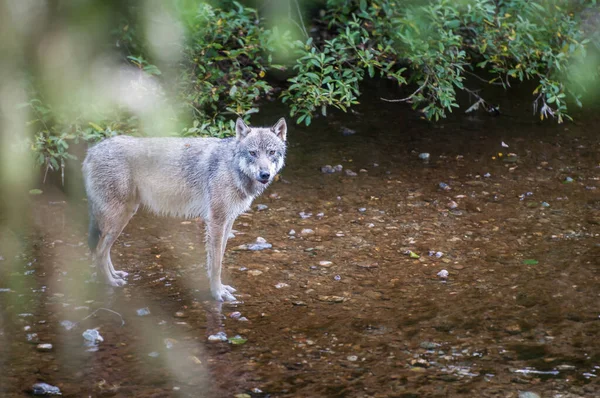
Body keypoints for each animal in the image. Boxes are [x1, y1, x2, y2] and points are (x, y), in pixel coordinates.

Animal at [82, 118, 288, 302]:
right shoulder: (216, 221)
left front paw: (220, 288)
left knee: (104, 251)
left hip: (124, 216)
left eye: (271, 152)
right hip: (119, 218)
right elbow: (216, 264)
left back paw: (115, 275)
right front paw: (217, 294)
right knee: (99, 252)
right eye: (253, 153)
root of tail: (91, 151)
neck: (232, 167)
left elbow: (218, 258)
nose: (265, 174)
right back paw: (110, 282)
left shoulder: (228, 221)